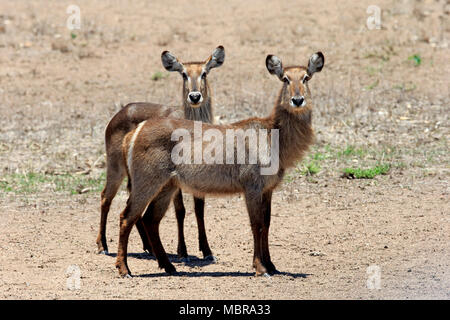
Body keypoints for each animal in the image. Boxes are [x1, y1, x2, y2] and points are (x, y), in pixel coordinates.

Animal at [97, 46, 225, 260]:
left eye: (204, 73)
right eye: (183, 74)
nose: (195, 96)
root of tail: (122, 111)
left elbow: (199, 210)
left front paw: (207, 251)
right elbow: (180, 210)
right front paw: (183, 251)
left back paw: (148, 246)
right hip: (116, 168)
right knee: (106, 197)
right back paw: (103, 245)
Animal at [117, 51, 324, 276]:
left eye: (306, 77)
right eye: (285, 78)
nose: (298, 100)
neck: (273, 133)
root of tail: (134, 133)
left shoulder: (268, 189)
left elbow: (267, 224)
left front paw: (271, 265)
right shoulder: (252, 186)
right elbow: (257, 224)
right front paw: (260, 267)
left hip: (167, 186)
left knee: (149, 219)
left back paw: (169, 266)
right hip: (146, 183)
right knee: (127, 217)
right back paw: (124, 269)